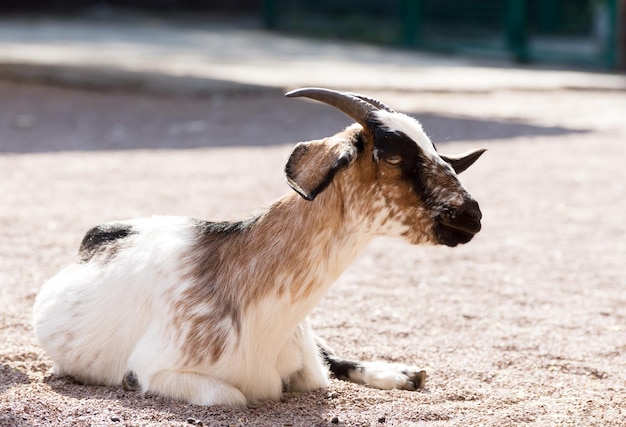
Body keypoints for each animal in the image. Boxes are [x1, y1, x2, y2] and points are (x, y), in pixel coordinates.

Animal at [31, 88, 486, 408]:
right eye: (391, 157)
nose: (471, 214)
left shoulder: (305, 358)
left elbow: (320, 372)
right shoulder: (158, 369)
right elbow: (232, 396)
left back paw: (405, 374)